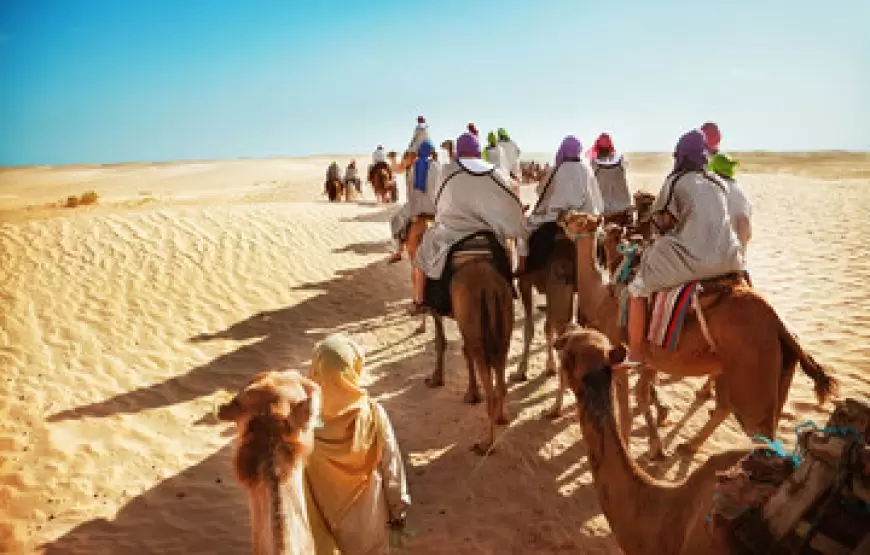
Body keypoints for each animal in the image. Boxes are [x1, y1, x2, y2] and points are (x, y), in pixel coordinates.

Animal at [424, 235, 516, 456]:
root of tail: (488, 288)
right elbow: (464, 352)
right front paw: (472, 394)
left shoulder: (437, 309)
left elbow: (440, 340)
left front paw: (435, 379)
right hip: (503, 326)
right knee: (500, 379)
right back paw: (502, 418)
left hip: (478, 331)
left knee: (489, 384)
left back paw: (486, 444)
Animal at [560, 211, 836, 458]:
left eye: (578, 219)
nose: (563, 215)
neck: (602, 298)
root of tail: (778, 323)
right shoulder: (651, 360)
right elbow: (641, 396)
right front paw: (657, 447)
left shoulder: (620, 355)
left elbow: (625, 411)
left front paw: (631, 448)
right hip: (760, 371)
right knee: (729, 410)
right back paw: (690, 446)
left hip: (752, 375)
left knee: (759, 429)